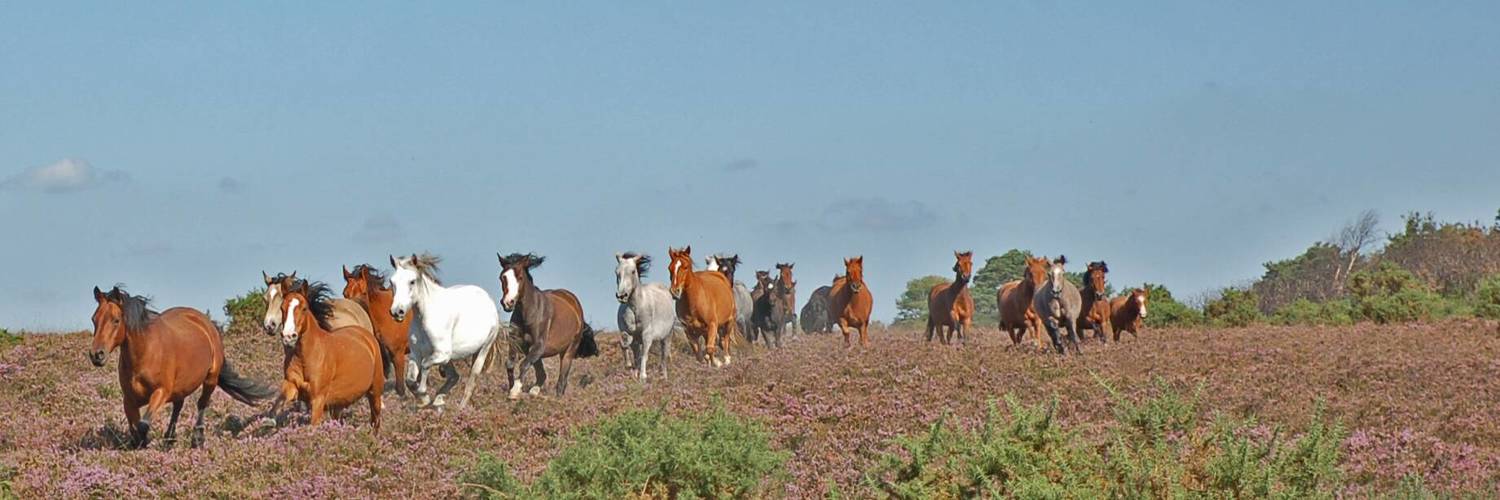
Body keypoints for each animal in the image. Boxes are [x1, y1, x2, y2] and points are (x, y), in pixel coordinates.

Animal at [89, 286, 274, 449]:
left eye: (116, 320)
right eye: (94, 319)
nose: (96, 355)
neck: (144, 354)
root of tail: (205, 322)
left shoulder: (161, 392)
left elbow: (143, 424)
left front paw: (144, 445)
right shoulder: (129, 400)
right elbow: (134, 426)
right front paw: (137, 445)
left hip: (210, 379)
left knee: (202, 403)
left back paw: (197, 439)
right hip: (182, 386)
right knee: (178, 406)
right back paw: (169, 440)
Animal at [277, 281, 383, 431]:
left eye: (304, 308)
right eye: (282, 308)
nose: (288, 336)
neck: (306, 357)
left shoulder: (318, 399)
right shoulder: (291, 386)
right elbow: (278, 405)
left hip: (375, 392)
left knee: (375, 421)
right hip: (338, 403)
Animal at [389, 253, 503, 408]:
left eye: (412, 281)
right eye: (392, 282)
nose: (397, 311)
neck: (423, 319)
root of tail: (488, 299)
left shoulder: (441, 354)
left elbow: (425, 365)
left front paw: (424, 395)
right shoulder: (416, 354)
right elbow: (410, 380)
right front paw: (424, 400)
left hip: (482, 350)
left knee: (471, 381)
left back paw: (460, 409)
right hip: (447, 358)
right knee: (454, 376)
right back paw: (439, 401)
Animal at [498, 253, 598, 398]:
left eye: (520, 277)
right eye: (502, 277)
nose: (508, 303)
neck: (529, 313)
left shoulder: (539, 346)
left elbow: (523, 364)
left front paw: (515, 390)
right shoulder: (519, 344)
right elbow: (510, 364)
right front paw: (511, 388)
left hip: (569, 350)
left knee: (562, 381)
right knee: (542, 374)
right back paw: (534, 391)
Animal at [615, 252, 679, 380]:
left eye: (633, 271)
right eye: (616, 272)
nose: (621, 296)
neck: (636, 308)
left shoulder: (647, 334)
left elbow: (644, 354)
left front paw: (643, 376)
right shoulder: (628, 333)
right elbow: (625, 345)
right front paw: (631, 368)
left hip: (667, 336)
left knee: (664, 357)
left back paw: (664, 377)